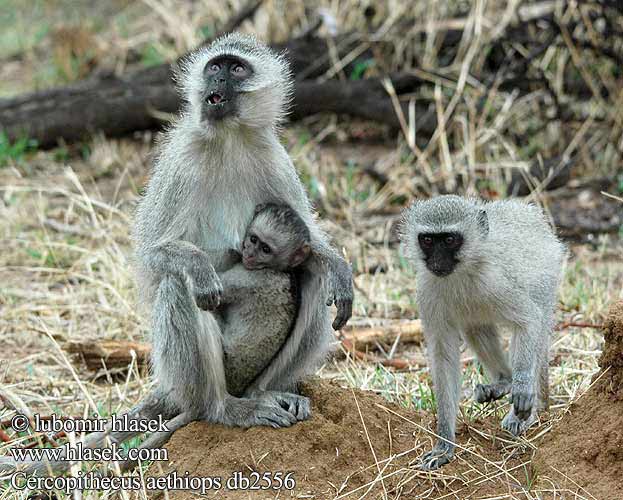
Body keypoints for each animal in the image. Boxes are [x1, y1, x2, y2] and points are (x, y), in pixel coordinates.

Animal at [400, 195, 564, 468]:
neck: (461, 272)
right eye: (428, 240)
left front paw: (523, 388)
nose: (437, 262)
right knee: (474, 326)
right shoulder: (427, 290)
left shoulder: (495, 280)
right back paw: (504, 381)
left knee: (537, 323)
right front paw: (444, 442)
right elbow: (444, 358)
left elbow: (529, 319)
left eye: (449, 240)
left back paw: (531, 407)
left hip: (549, 277)